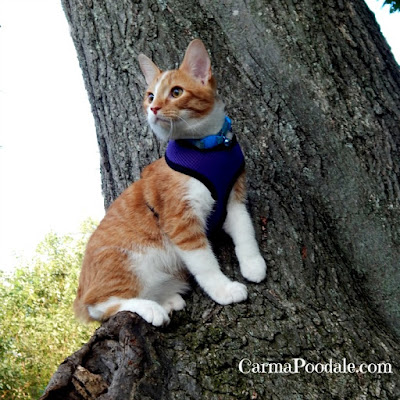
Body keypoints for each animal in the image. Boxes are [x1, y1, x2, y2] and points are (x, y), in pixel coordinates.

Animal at [73, 39, 268, 326]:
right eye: (150, 96)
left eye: (176, 92)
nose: (153, 109)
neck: (207, 147)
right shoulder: (180, 221)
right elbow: (205, 263)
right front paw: (223, 289)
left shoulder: (234, 198)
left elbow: (245, 230)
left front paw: (253, 264)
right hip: (125, 261)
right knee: (100, 306)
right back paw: (150, 308)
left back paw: (166, 301)